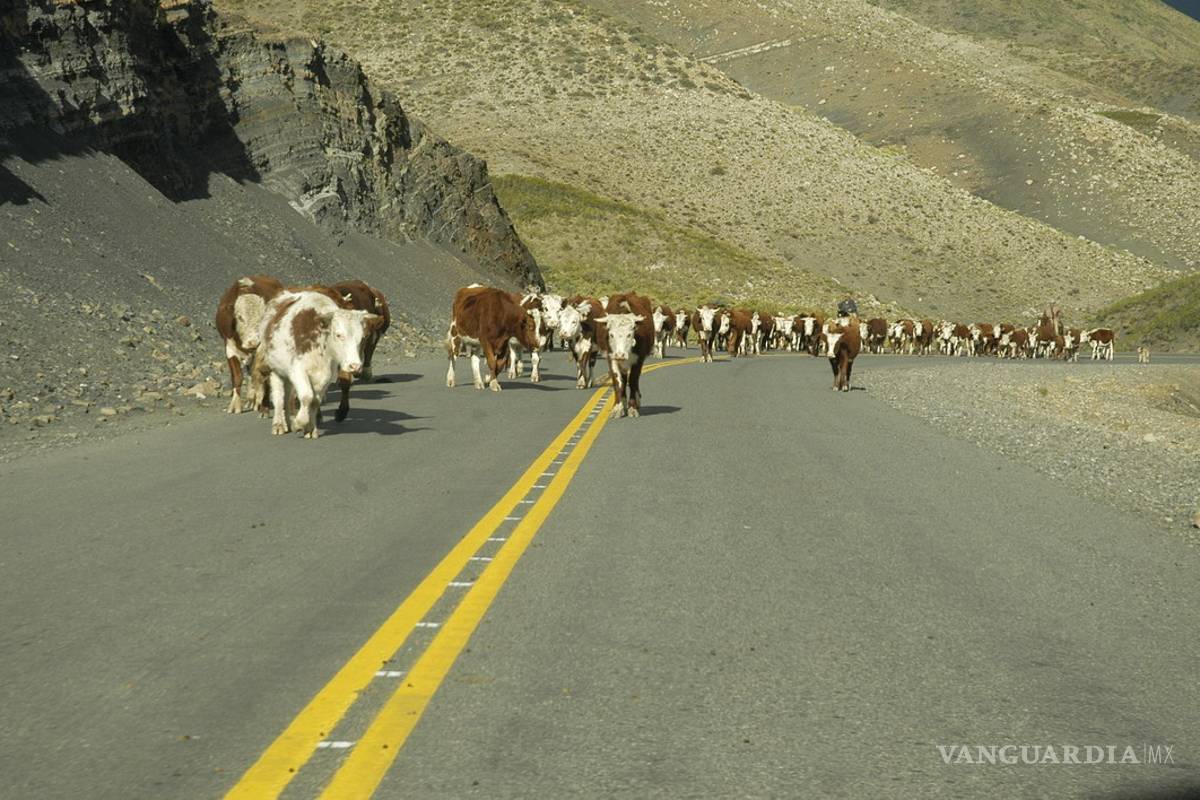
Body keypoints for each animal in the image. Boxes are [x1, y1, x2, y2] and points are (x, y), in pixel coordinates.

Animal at [215, 275, 284, 414]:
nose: (253, 342)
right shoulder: (229, 347)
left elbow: (262, 376)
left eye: (263, 318)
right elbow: (237, 377)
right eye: (239, 317)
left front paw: (264, 406)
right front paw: (235, 405)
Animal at [257, 290, 381, 439]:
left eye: (363, 337)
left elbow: (315, 401)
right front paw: (299, 423)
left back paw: (288, 420)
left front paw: (310, 428)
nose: (355, 366)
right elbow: (306, 396)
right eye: (338, 335)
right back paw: (279, 424)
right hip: (276, 370)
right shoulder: (298, 370)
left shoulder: (326, 375)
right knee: (279, 396)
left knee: (287, 396)